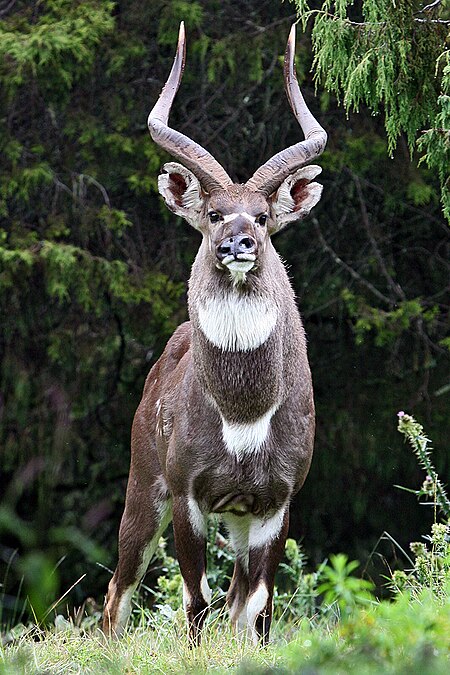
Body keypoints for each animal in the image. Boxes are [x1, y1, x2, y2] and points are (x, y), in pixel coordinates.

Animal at [104, 21, 326, 644]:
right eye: (212, 213)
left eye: (265, 217)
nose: (238, 243)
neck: (244, 415)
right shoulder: (188, 492)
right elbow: (195, 600)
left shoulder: (276, 500)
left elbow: (258, 608)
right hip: (142, 488)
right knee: (117, 592)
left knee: (235, 600)